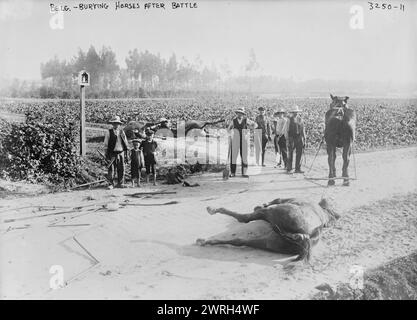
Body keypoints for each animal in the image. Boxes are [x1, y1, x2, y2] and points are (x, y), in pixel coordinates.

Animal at [195, 198, 338, 262]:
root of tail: (305, 236)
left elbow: (276, 199)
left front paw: (260, 205)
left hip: (269, 214)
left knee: (244, 218)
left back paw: (212, 210)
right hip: (268, 242)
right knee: (240, 241)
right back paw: (204, 241)